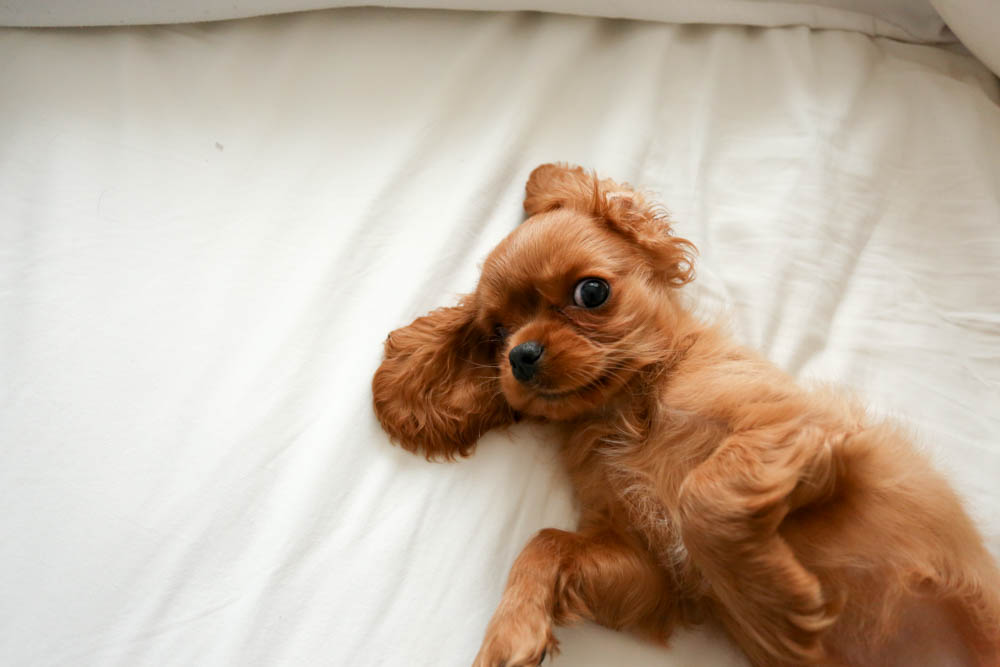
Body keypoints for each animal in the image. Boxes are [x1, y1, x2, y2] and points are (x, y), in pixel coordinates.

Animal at [370, 163, 1000, 667]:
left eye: (591, 292)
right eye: (497, 334)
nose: (520, 356)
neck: (629, 412)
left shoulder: (804, 429)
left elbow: (704, 494)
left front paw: (775, 604)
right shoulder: (651, 574)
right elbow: (546, 541)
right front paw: (512, 630)